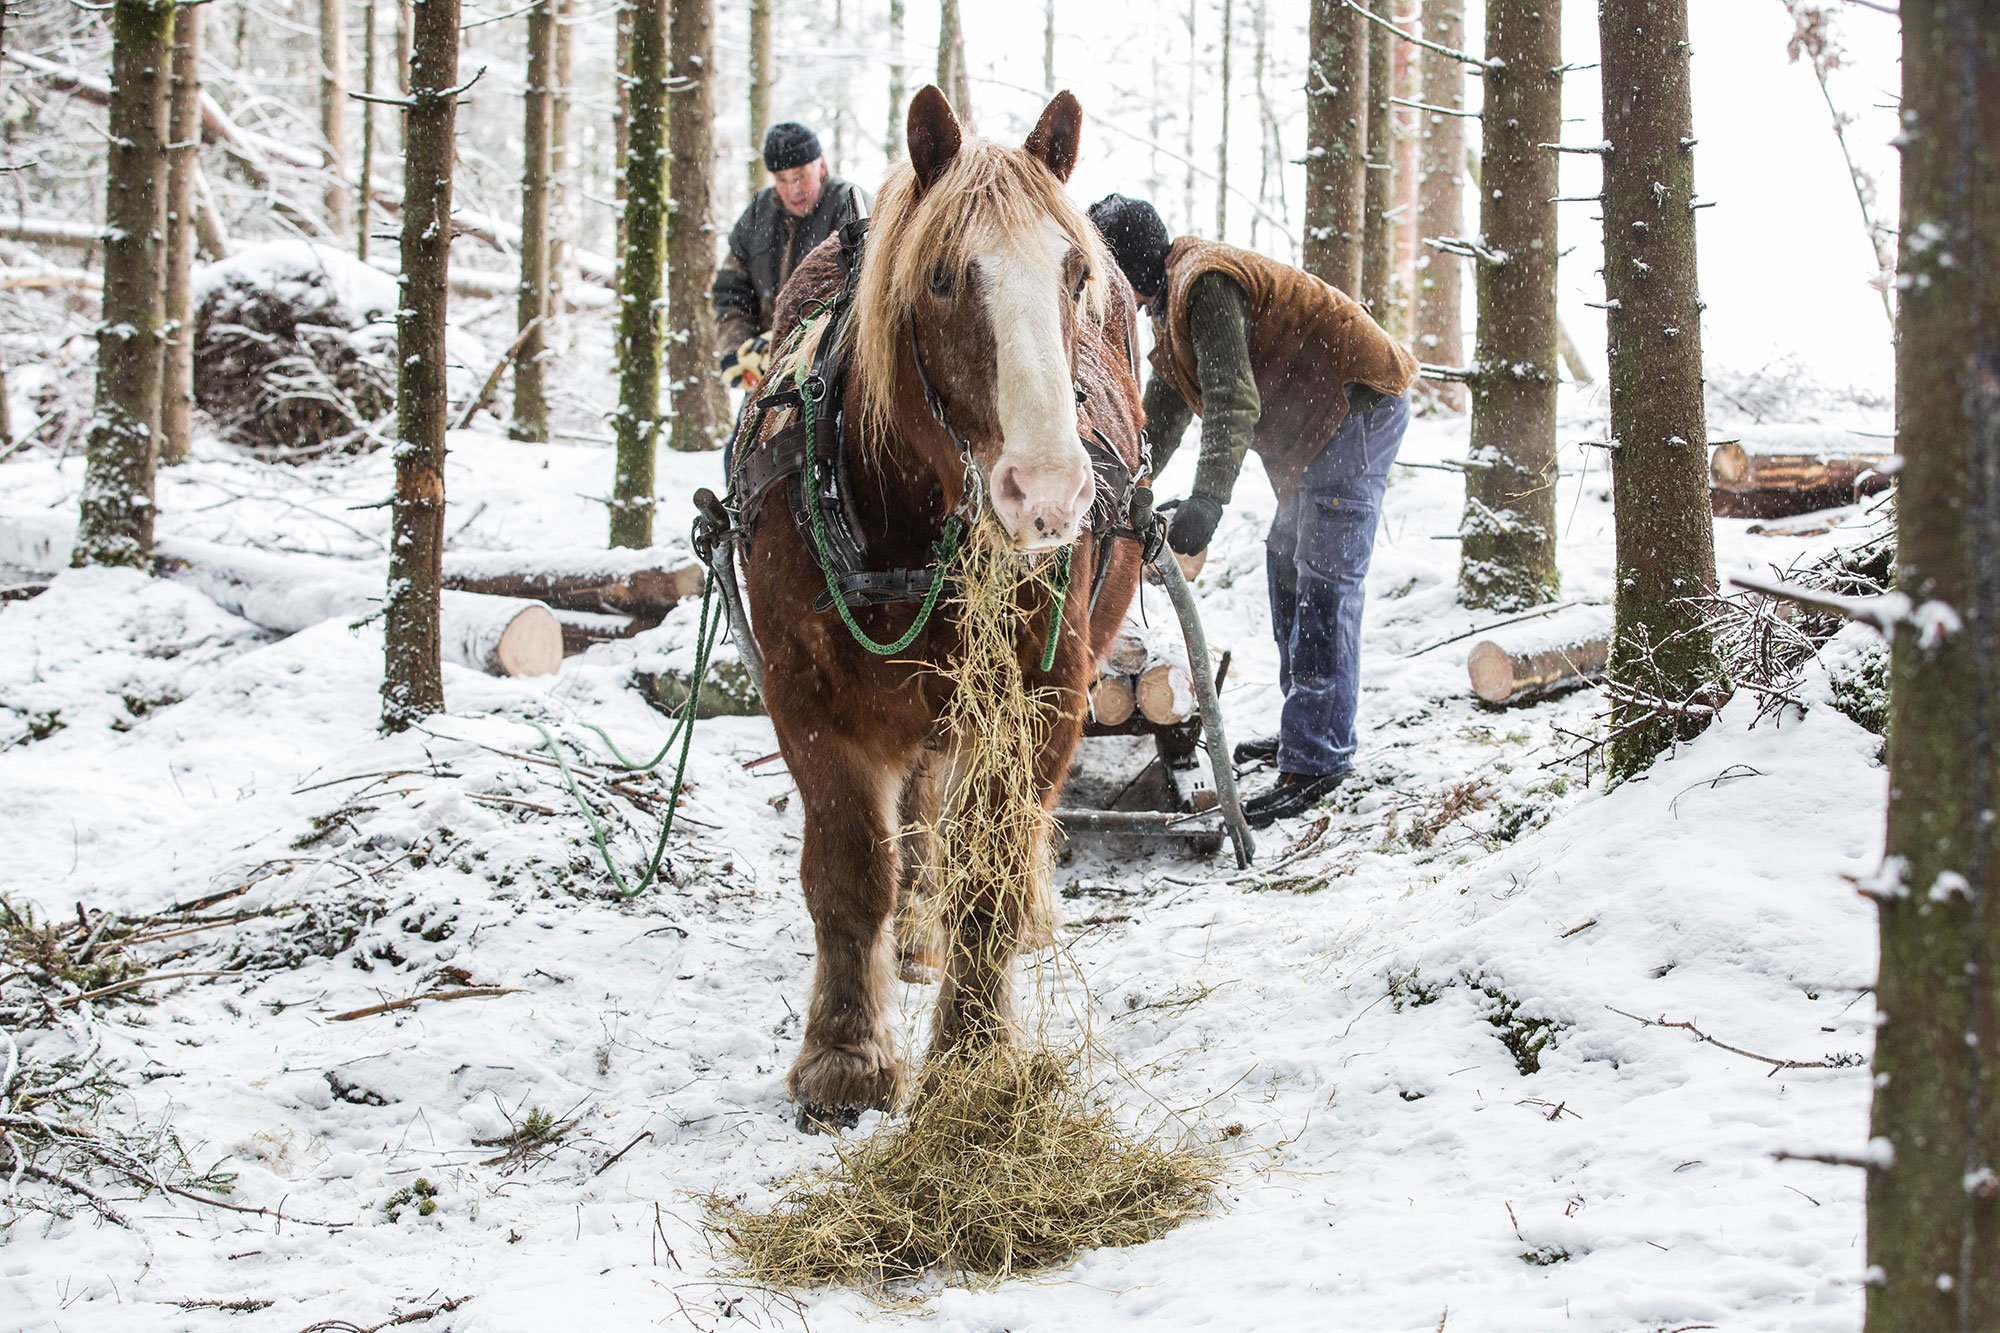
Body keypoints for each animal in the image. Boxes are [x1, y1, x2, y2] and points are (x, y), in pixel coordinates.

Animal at [744, 85, 1144, 1120]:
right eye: (939, 279)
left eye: (1075, 273)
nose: (1048, 493)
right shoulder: (805, 696)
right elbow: (851, 873)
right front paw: (846, 1053)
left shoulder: (1042, 694)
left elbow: (988, 874)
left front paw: (974, 1059)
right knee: (918, 813)